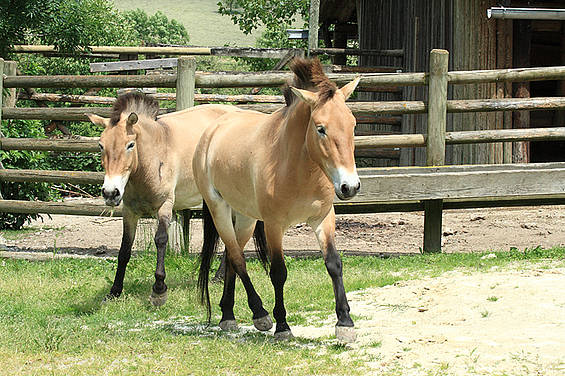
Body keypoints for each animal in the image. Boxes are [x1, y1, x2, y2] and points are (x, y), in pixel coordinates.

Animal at [86, 93, 240, 306]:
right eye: (101, 145)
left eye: (130, 145)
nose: (110, 193)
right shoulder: (129, 211)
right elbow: (124, 249)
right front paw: (114, 291)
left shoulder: (165, 206)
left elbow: (161, 240)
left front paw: (159, 290)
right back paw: (219, 277)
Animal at [194, 57, 362, 342]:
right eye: (321, 129)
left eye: (352, 125)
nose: (349, 186)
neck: (296, 166)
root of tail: (212, 131)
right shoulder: (274, 225)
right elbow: (278, 273)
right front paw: (282, 326)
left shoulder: (323, 218)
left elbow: (334, 264)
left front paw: (345, 322)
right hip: (220, 210)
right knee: (237, 258)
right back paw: (260, 314)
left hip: (246, 217)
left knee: (231, 256)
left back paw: (228, 315)